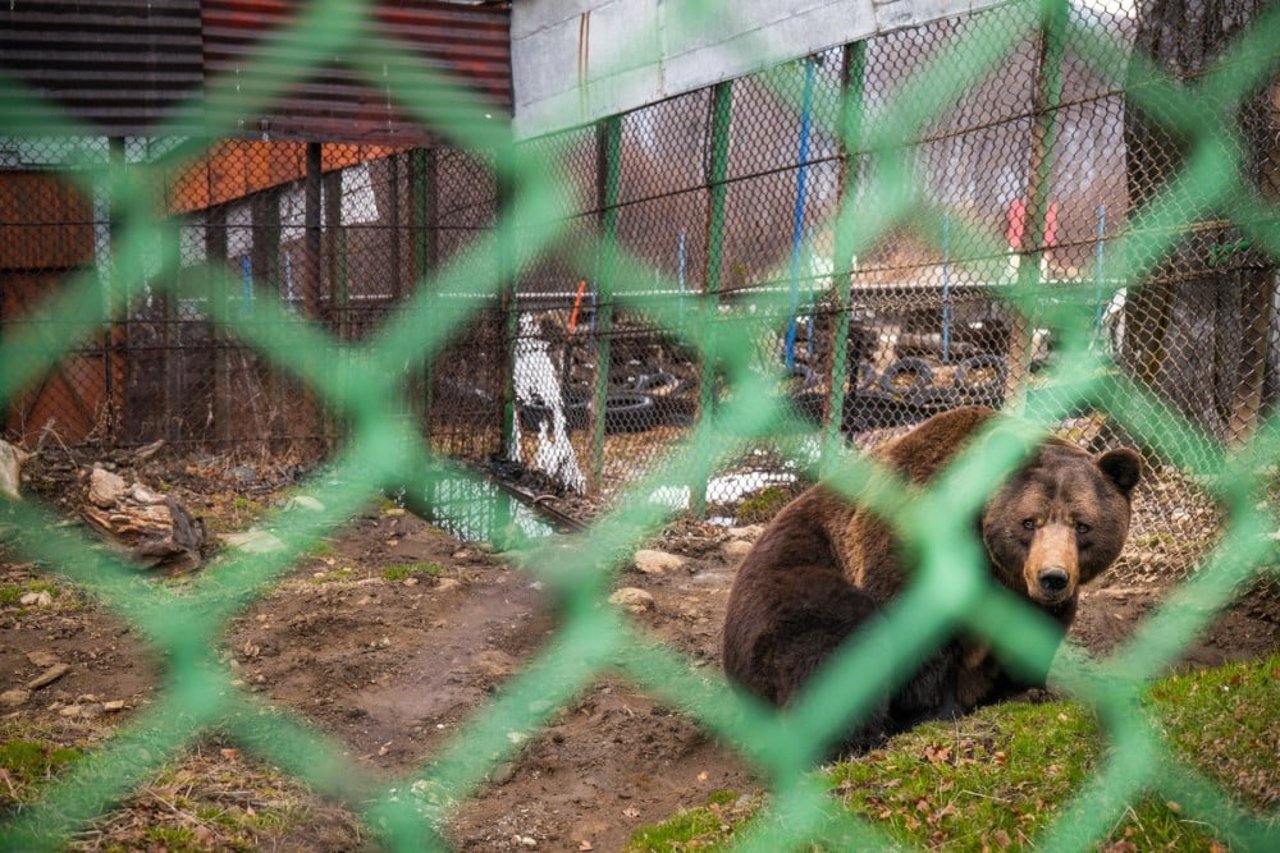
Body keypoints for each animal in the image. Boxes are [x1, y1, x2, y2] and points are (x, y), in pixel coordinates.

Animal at [721, 402, 1141, 747]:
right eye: (1029, 521)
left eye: (1082, 525)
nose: (1052, 577)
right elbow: (918, 639)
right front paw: (936, 713)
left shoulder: (1027, 598)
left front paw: (1026, 692)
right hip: (787, 590)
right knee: (835, 642)